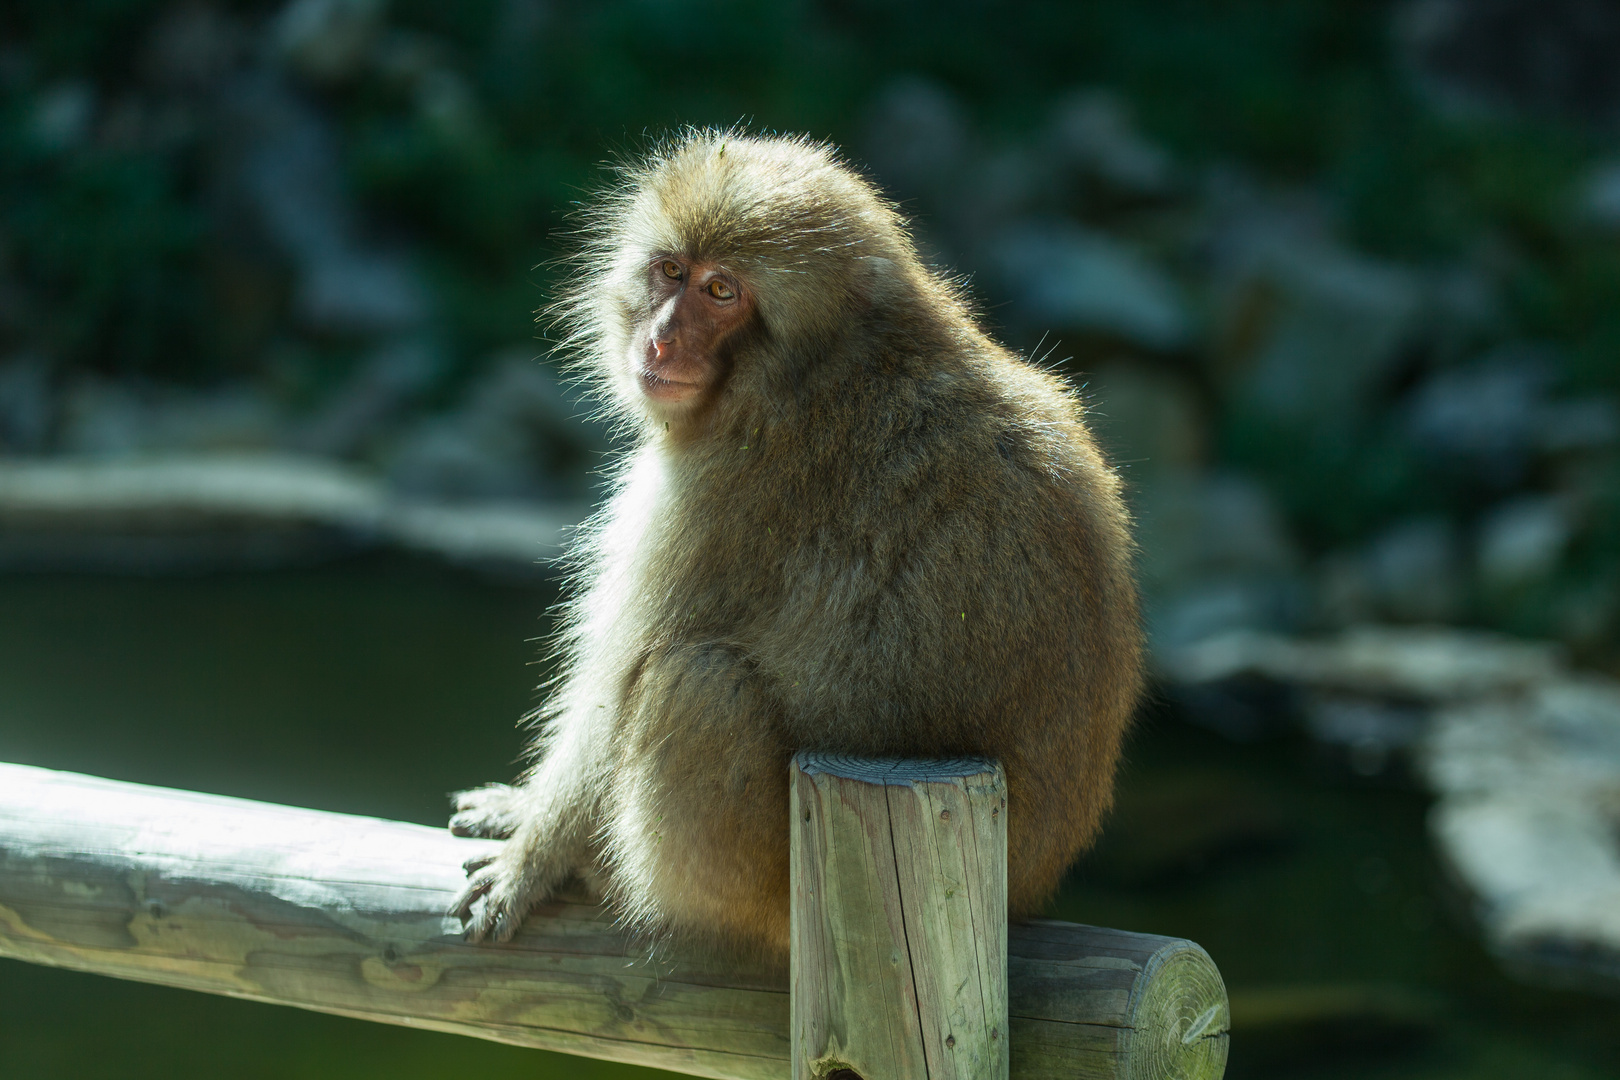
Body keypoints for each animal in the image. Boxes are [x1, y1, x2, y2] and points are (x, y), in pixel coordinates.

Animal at [450, 131, 1146, 958]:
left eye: (722, 292)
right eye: (672, 272)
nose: (661, 339)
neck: (817, 369)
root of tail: (1022, 896)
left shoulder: (723, 497)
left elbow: (621, 676)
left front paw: (534, 853)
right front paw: (519, 812)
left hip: (770, 888)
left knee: (696, 682)